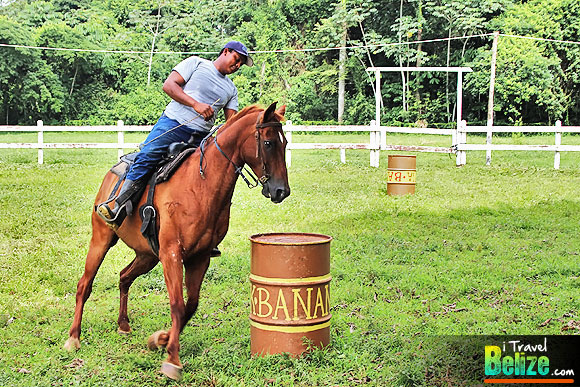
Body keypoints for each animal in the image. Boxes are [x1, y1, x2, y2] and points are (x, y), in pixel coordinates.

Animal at [64, 101, 290, 380]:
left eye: (285, 143)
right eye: (268, 143)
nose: (281, 191)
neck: (200, 185)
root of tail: (112, 174)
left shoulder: (200, 257)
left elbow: (190, 306)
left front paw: (160, 340)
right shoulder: (172, 254)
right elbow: (178, 304)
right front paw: (172, 359)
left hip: (147, 255)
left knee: (124, 277)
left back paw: (123, 324)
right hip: (102, 239)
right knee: (84, 285)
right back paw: (73, 337)